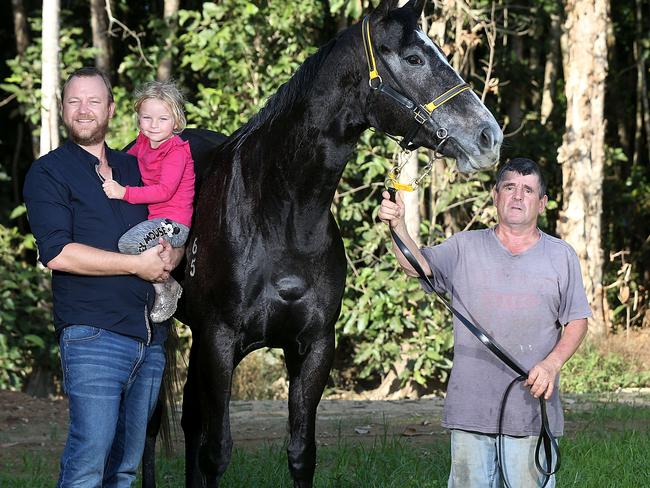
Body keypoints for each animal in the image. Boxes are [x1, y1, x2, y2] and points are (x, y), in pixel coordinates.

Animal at [147, 0, 502, 486]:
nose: (490, 137)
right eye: (414, 58)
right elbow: (216, 452)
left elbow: (300, 452)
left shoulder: (315, 346)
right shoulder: (220, 342)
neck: (280, 216)